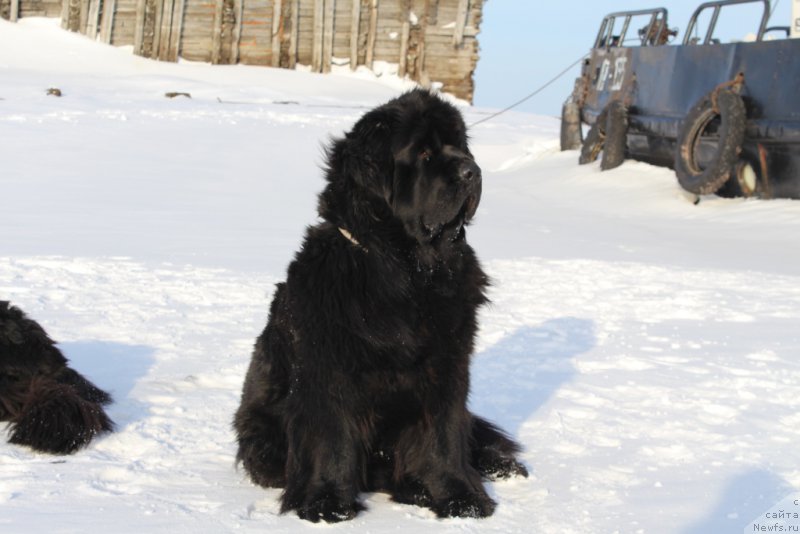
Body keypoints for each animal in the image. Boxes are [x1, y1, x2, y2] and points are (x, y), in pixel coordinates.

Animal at [234, 89, 528, 524]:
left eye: (461, 146)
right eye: (424, 152)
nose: (471, 171)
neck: (405, 271)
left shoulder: (448, 365)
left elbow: (445, 435)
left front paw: (462, 498)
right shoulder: (329, 366)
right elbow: (331, 436)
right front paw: (326, 503)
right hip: (260, 433)